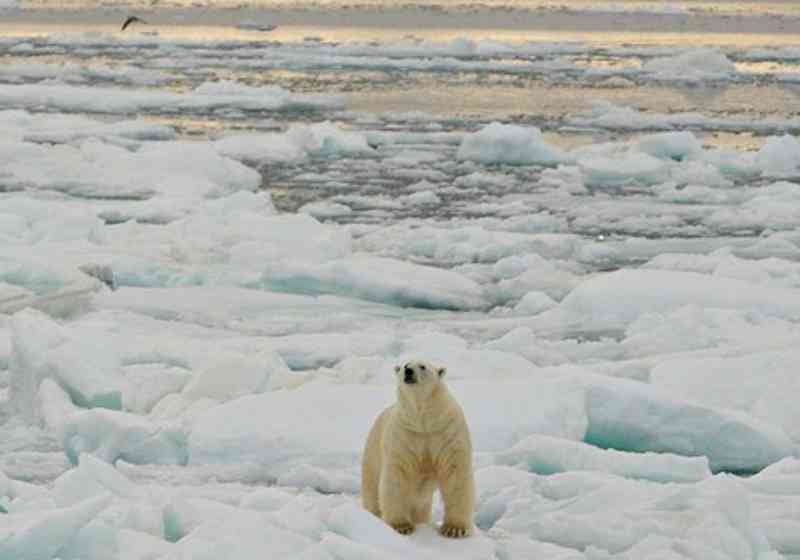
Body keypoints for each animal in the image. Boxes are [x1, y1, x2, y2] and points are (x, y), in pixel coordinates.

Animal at [362, 358, 476, 540]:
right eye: (403, 365)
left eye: (423, 366)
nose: (408, 371)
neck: (423, 421)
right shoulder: (404, 435)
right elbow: (396, 476)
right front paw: (401, 526)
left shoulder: (447, 431)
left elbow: (455, 474)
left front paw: (454, 529)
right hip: (372, 453)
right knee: (372, 489)